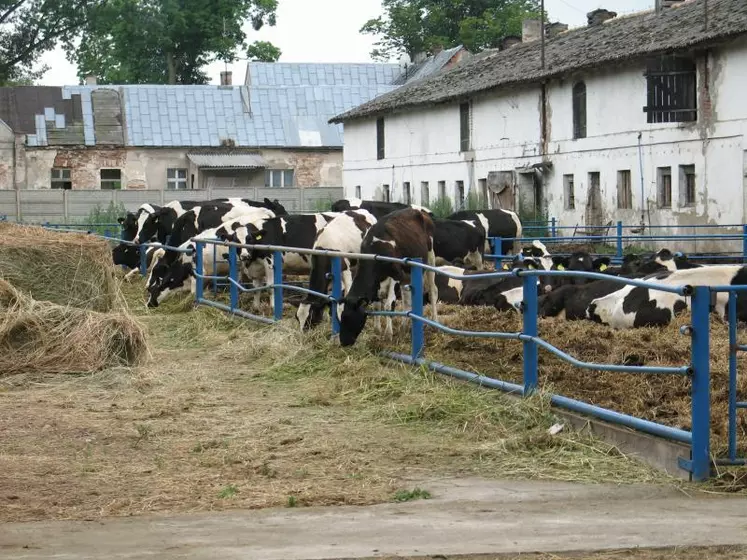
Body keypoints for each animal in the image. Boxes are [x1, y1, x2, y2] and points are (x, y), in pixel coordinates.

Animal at [342, 207, 442, 346]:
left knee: (433, 290)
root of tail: (418, 211)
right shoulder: (377, 283)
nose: (343, 342)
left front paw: (388, 334)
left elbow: (389, 305)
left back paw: (435, 321)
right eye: (341, 317)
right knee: (407, 300)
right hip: (407, 274)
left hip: (430, 257)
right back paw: (404, 326)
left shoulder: (395, 276)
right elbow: (377, 305)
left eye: (349, 317)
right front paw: (377, 330)